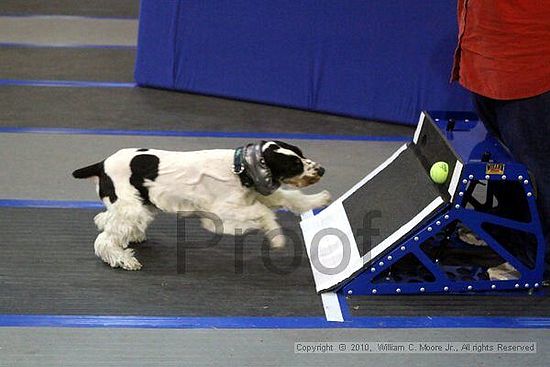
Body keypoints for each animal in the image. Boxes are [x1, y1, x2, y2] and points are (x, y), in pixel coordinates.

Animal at [73, 141, 332, 270]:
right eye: (294, 165)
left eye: (301, 154)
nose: (321, 170)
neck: (240, 170)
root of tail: (101, 164)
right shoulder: (221, 214)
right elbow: (264, 213)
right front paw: (277, 238)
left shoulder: (255, 196)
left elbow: (289, 198)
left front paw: (320, 199)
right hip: (131, 207)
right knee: (104, 239)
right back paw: (124, 260)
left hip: (138, 206)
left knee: (106, 220)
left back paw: (132, 236)